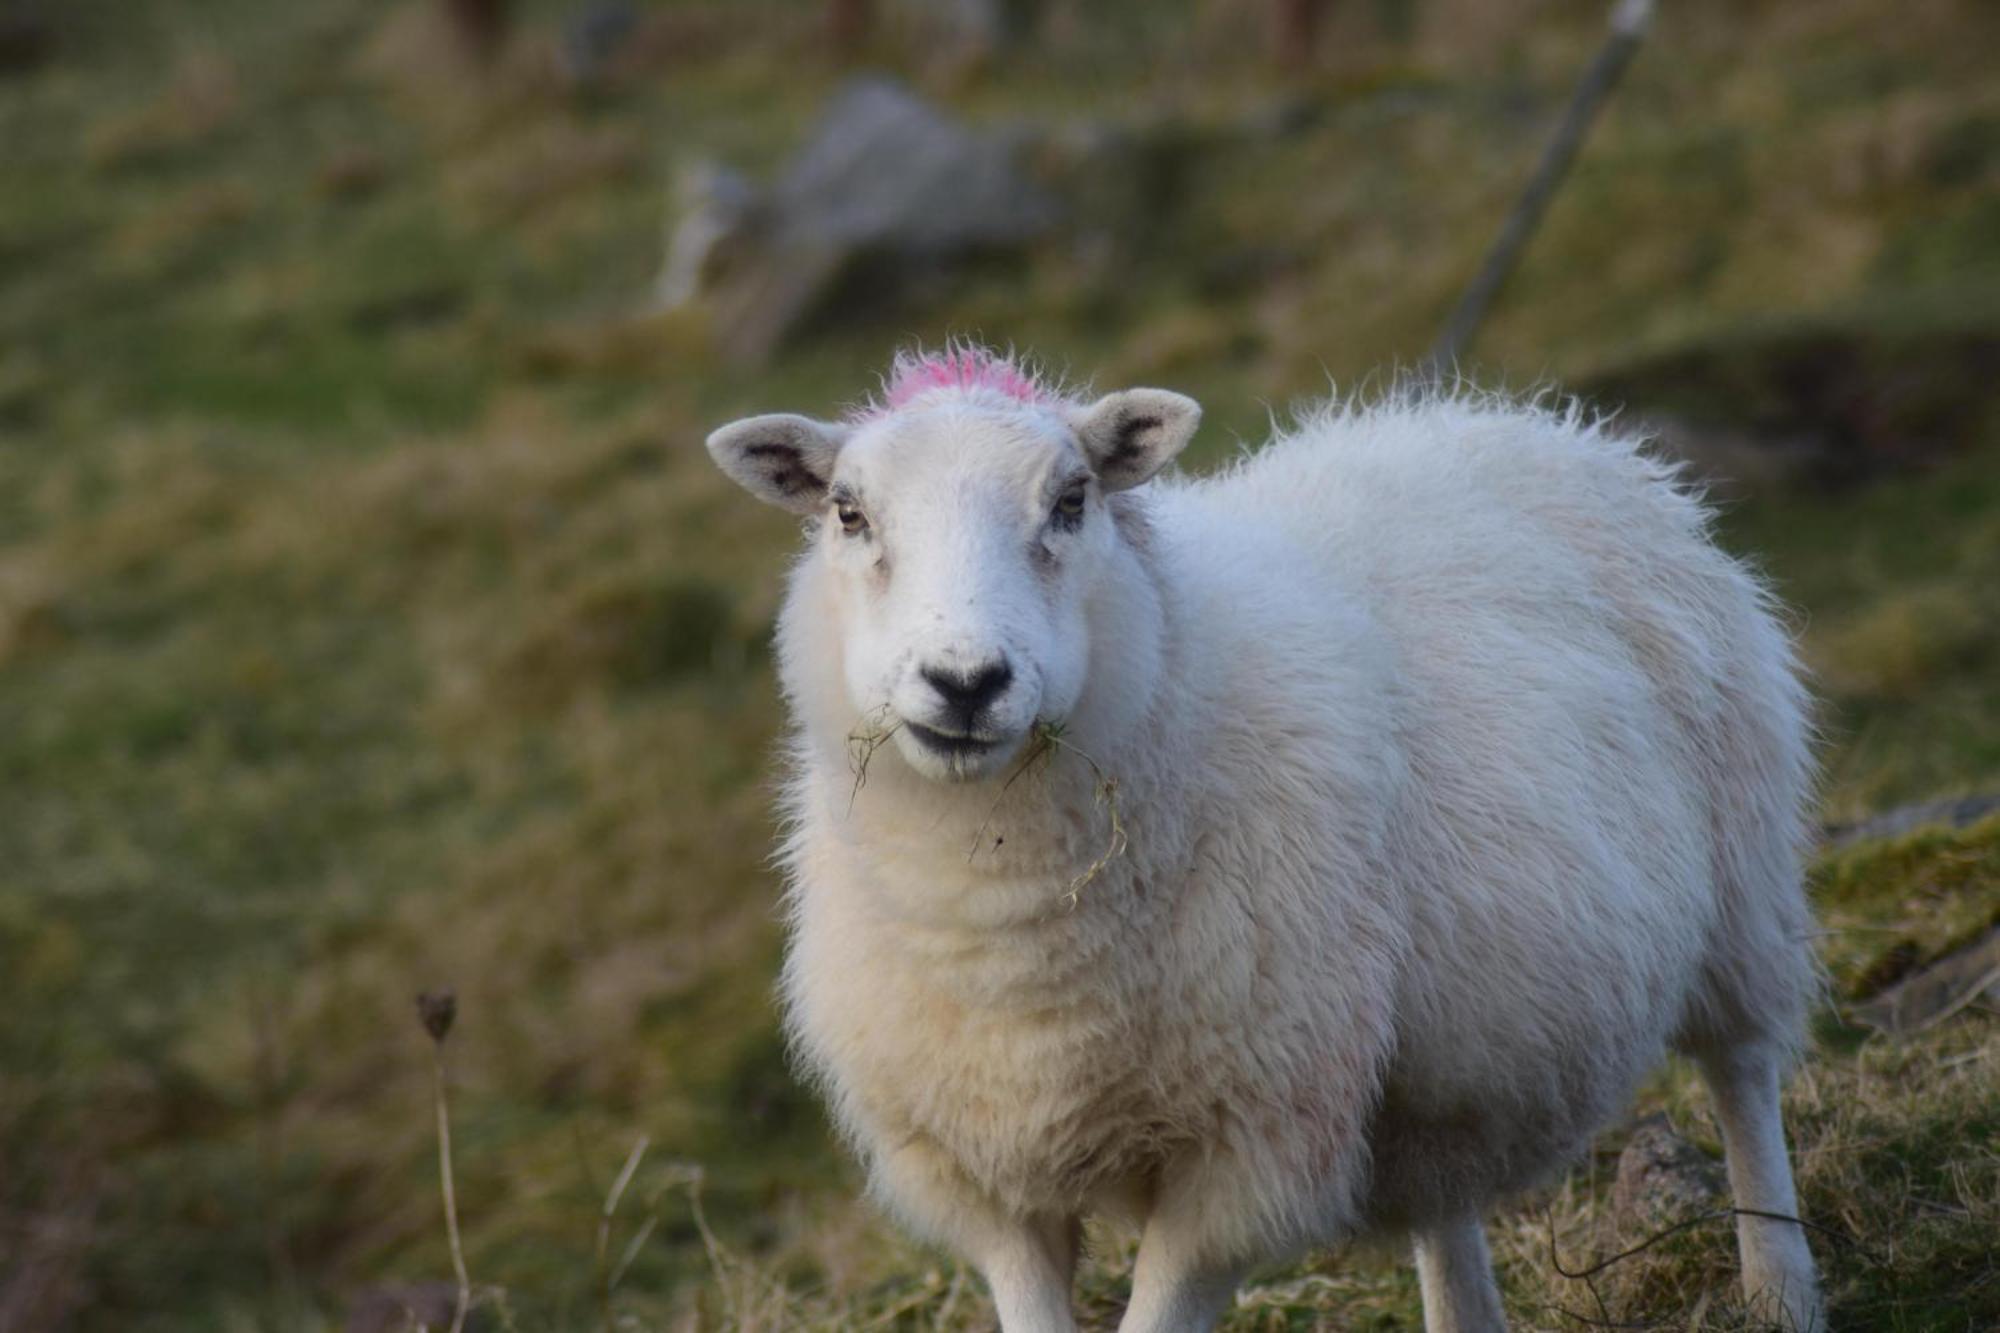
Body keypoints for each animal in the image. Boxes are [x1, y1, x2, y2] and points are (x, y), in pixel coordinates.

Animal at [704, 344, 1832, 1328]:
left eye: (1071, 501)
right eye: (848, 512)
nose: (966, 681)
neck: (1006, 918)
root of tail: (1533, 424)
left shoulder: (1243, 1152)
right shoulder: (983, 1179)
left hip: (1741, 877)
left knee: (1741, 1072)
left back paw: (1781, 1286)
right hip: (1431, 1056)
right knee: (1442, 1186)